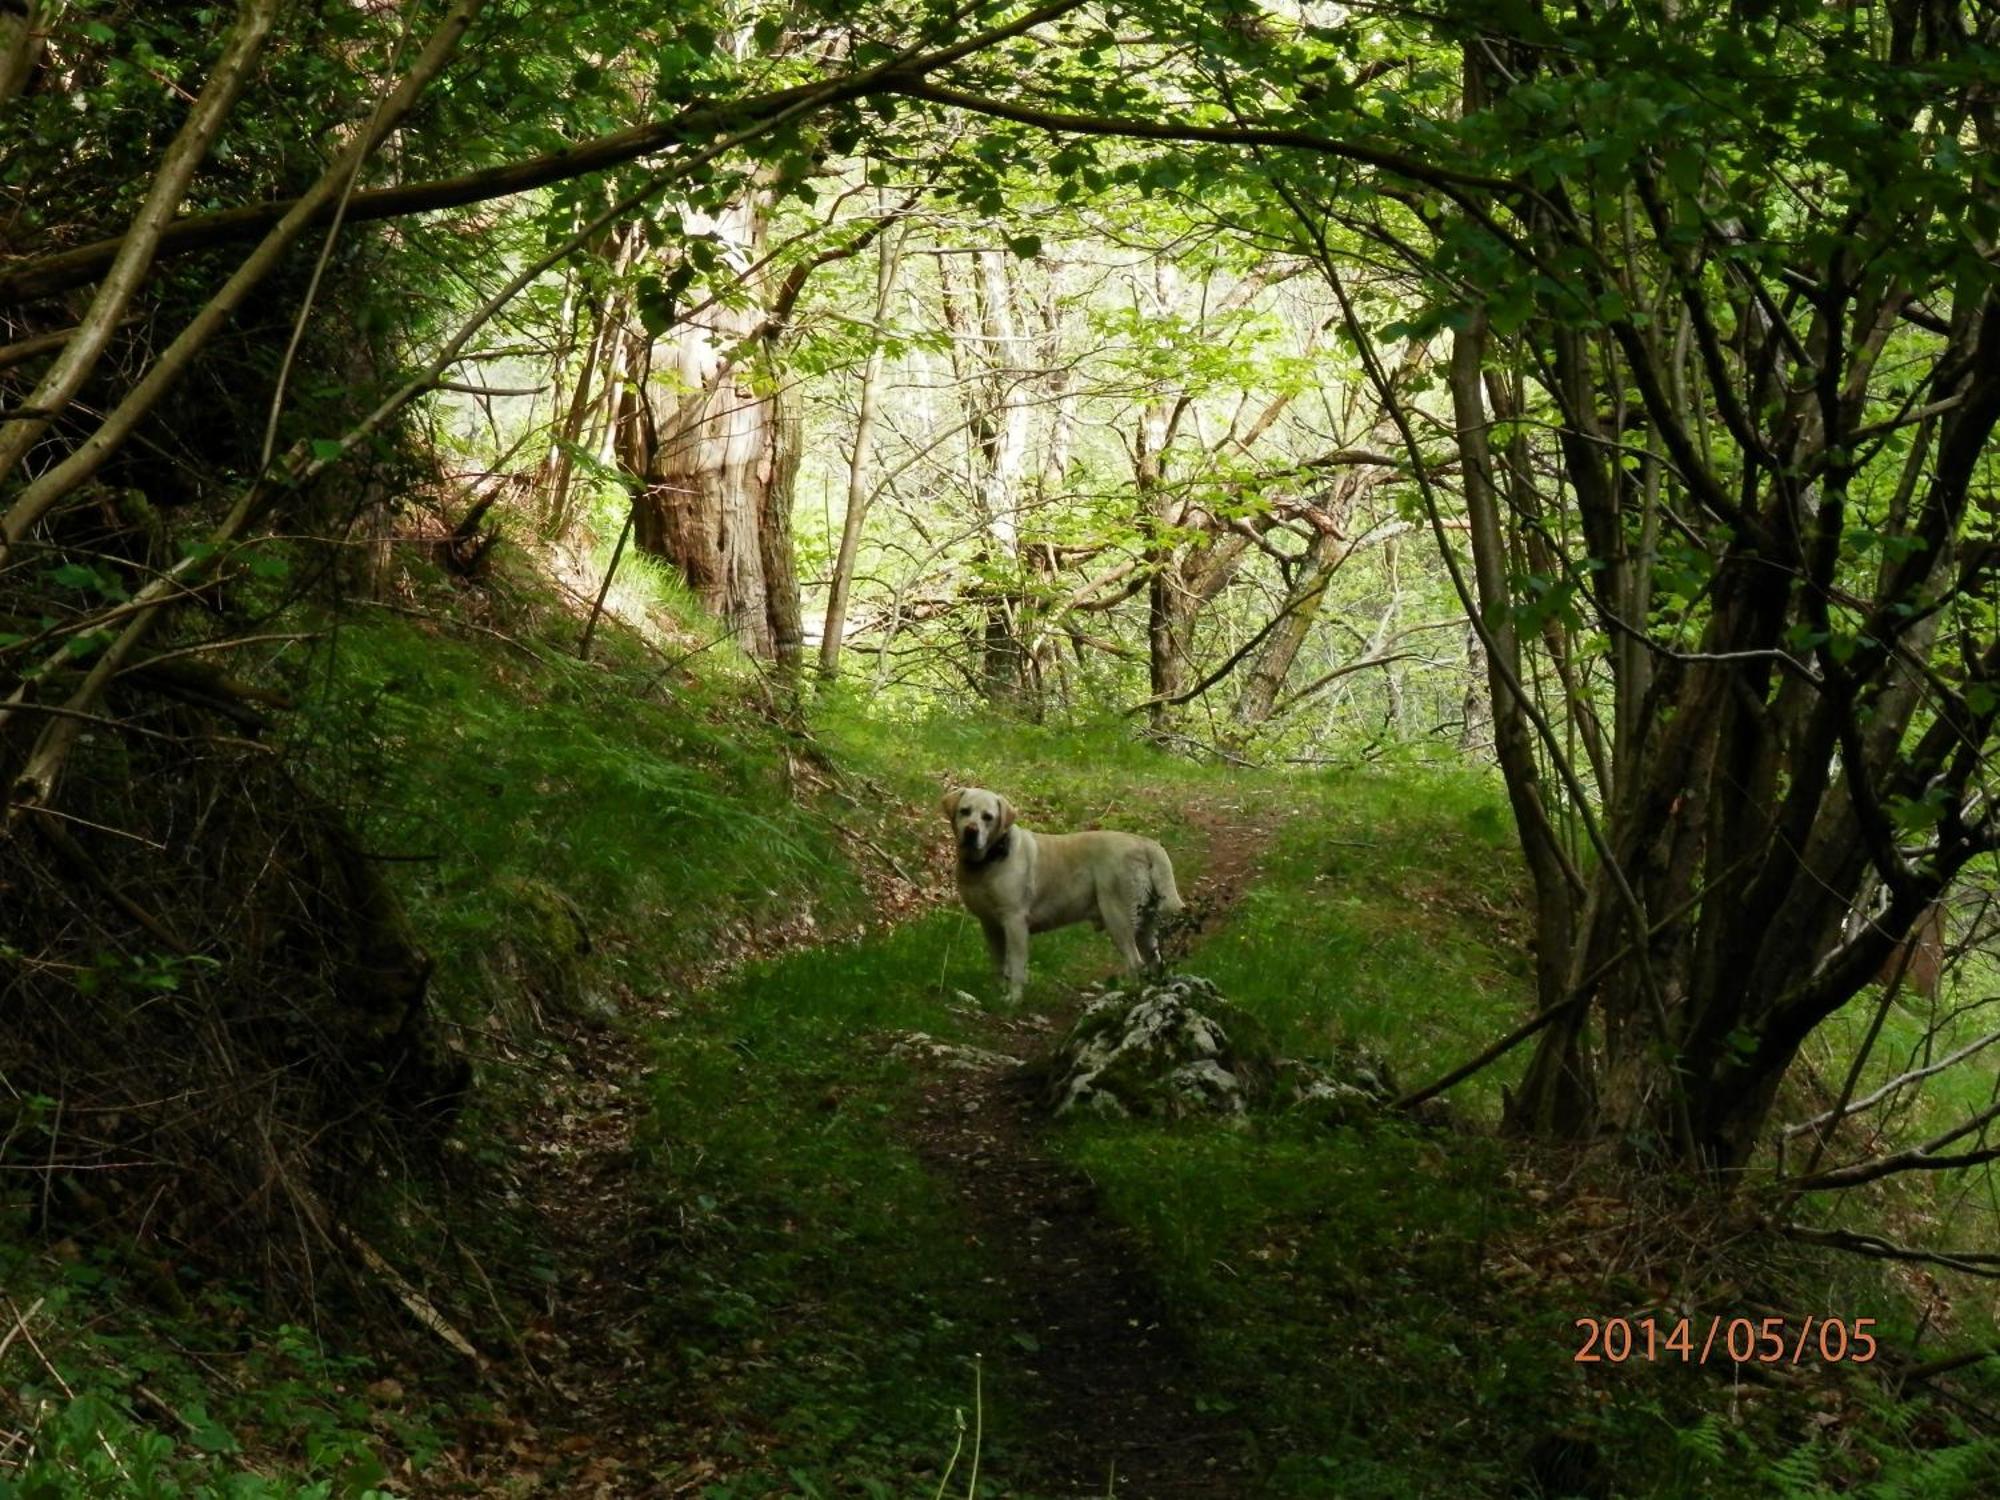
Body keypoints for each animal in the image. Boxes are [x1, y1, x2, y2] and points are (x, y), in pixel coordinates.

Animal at [940, 792, 1176, 1004]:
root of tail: (1145, 843)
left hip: (1118, 917)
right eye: (965, 811)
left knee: (1135, 962)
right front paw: (994, 994)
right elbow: (997, 964)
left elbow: (1016, 967)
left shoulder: (1015, 921)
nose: (971, 831)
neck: (991, 858)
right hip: (1146, 925)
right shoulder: (990, 925)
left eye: (988, 817)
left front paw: (1013, 999)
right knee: (1155, 960)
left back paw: (1129, 994)